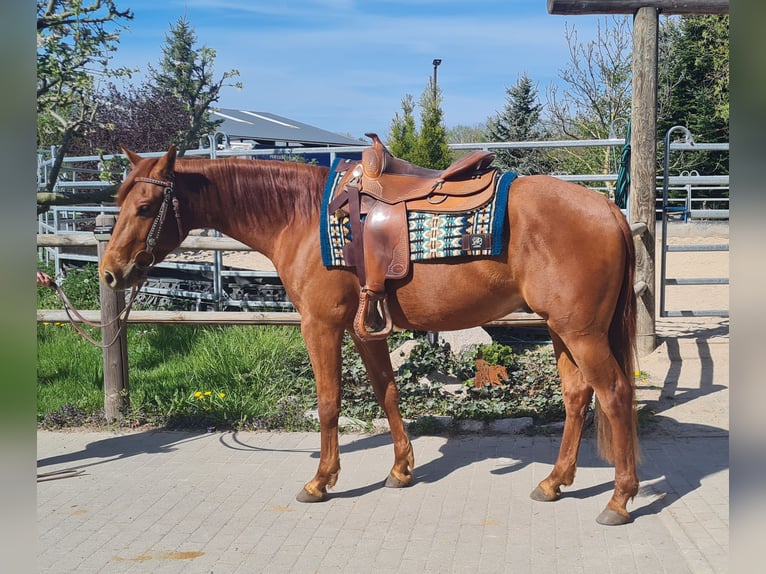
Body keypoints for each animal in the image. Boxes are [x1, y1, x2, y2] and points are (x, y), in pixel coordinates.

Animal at [99, 144, 640, 525]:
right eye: (118, 201)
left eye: (145, 206)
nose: (110, 271)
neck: (298, 217)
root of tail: (610, 211)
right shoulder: (365, 330)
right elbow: (387, 392)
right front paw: (400, 470)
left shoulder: (321, 326)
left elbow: (328, 402)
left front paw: (321, 481)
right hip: (561, 330)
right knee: (577, 395)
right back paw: (555, 482)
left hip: (581, 331)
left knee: (613, 394)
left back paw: (619, 499)